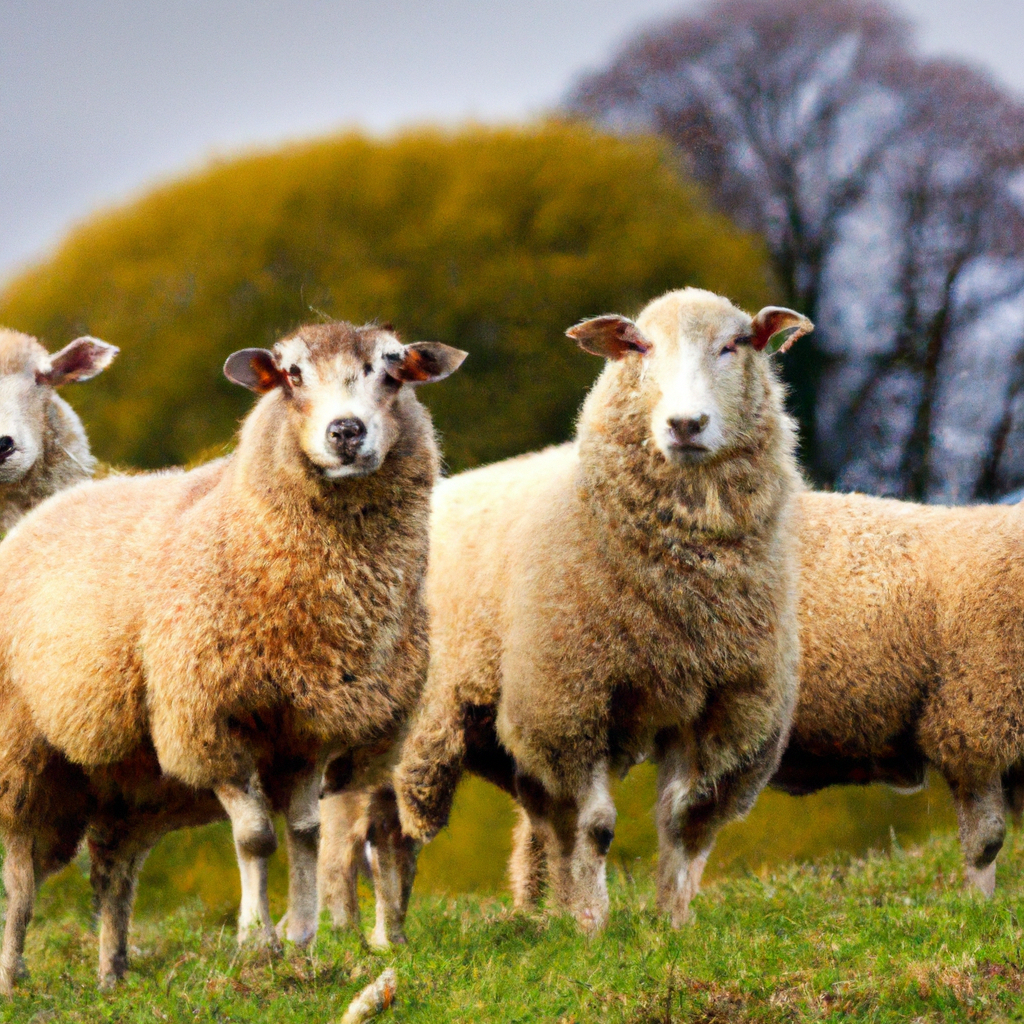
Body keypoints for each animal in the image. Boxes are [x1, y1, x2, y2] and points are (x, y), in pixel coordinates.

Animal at [387, 286, 811, 929]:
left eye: (736, 344)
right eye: (639, 346)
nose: (685, 424)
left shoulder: (727, 709)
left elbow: (683, 824)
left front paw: (671, 924)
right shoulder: (567, 701)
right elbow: (595, 826)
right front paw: (591, 923)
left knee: (532, 822)